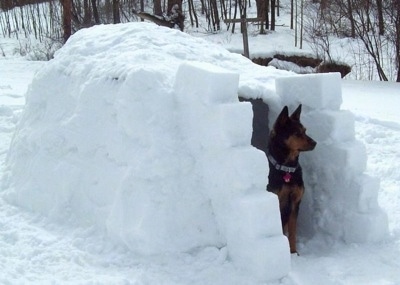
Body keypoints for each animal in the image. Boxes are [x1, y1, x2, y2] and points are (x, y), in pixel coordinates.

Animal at [268, 104, 318, 253]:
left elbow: (292, 231)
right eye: (296, 133)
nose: (315, 143)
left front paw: (294, 252)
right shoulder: (277, 200)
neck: (287, 168)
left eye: (305, 130)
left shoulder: (295, 202)